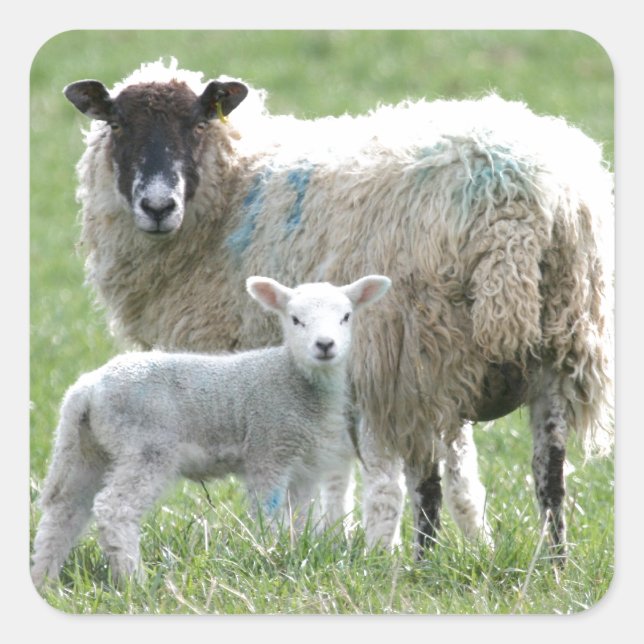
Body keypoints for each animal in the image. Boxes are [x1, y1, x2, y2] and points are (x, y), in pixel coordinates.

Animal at [30, 273, 392, 587]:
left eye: (346, 316)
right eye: (295, 319)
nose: (325, 345)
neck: (294, 378)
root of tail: (88, 388)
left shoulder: (303, 465)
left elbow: (301, 517)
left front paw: (298, 551)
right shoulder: (268, 448)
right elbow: (268, 512)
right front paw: (270, 553)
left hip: (88, 448)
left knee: (64, 511)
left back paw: (45, 580)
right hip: (146, 445)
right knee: (113, 509)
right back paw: (136, 581)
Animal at [61, 58, 614, 562]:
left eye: (198, 123)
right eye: (116, 125)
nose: (158, 206)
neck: (237, 186)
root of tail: (515, 205)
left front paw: (344, 541)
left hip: (417, 354)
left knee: (427, 482)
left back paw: (422, 563)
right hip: (556, 349)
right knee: (550, 474)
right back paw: (553, 563)